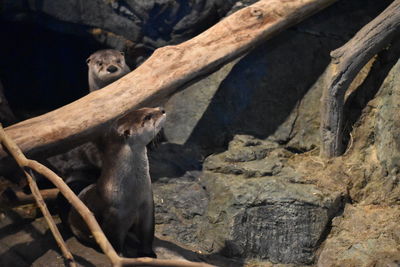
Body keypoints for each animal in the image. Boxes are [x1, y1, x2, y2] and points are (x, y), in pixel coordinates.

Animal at [67, 108, 166, 258]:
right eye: (147, 116)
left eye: (149, 108)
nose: (162, 110)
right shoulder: (114, 215)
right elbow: (114, 241)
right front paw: (121, 255)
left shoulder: (148, 206)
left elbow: (147, 234)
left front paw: (148, 253)